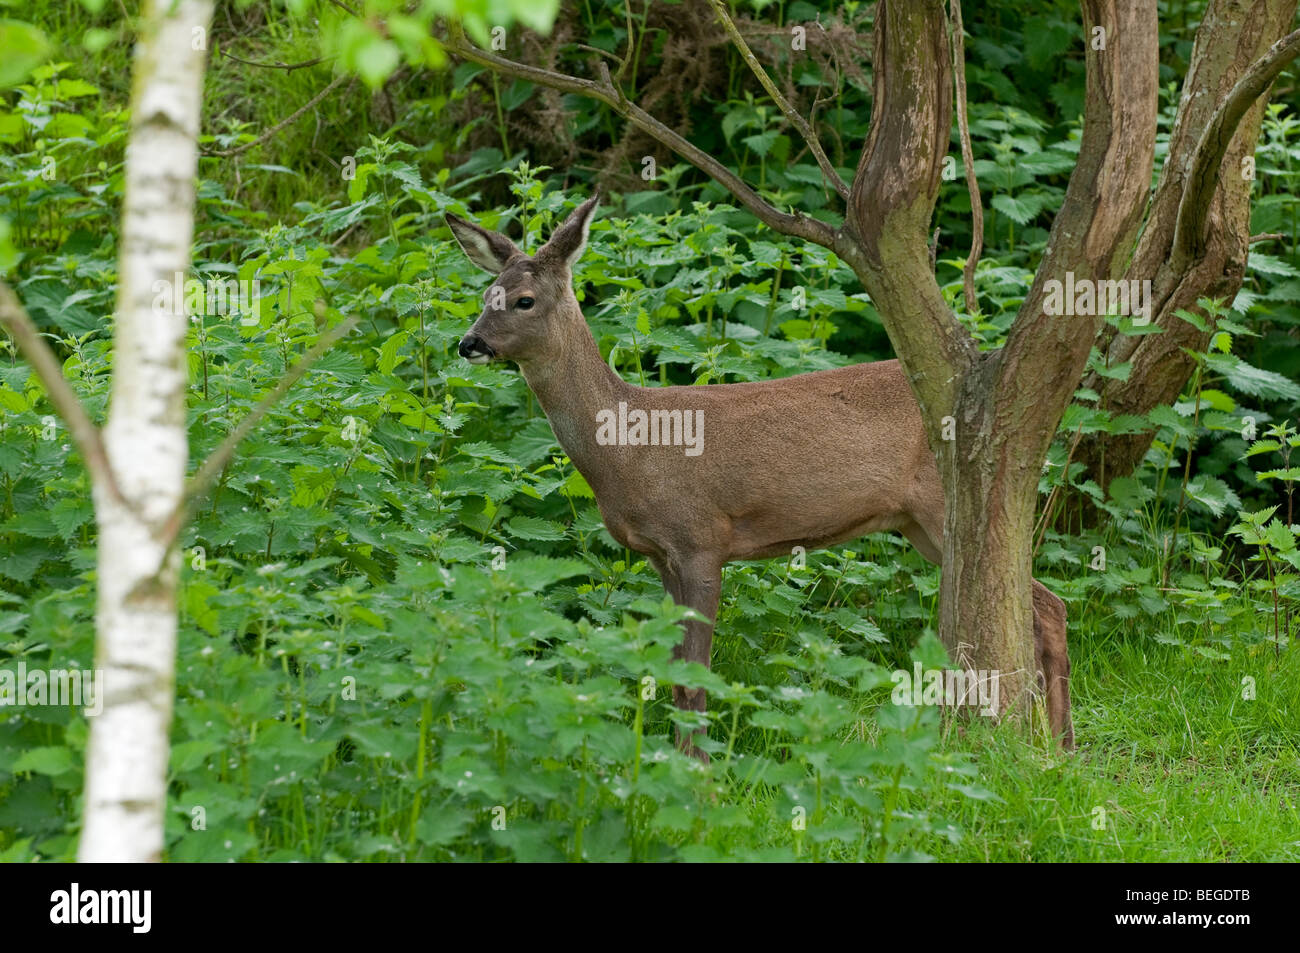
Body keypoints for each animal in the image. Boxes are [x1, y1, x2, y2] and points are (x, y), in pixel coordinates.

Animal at [447, 193, 1076, 759]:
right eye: (484, 295)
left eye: (524, 300)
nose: (468, 343)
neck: (631, 447)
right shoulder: (658, 555)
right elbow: (675, 671)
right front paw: (673, 760)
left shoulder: (701, 538)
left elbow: (696, 673)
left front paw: (698, 770)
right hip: (919, 525)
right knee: (1045, 605)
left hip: (947, 505)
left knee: (1048, 606)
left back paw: (1061, 748)